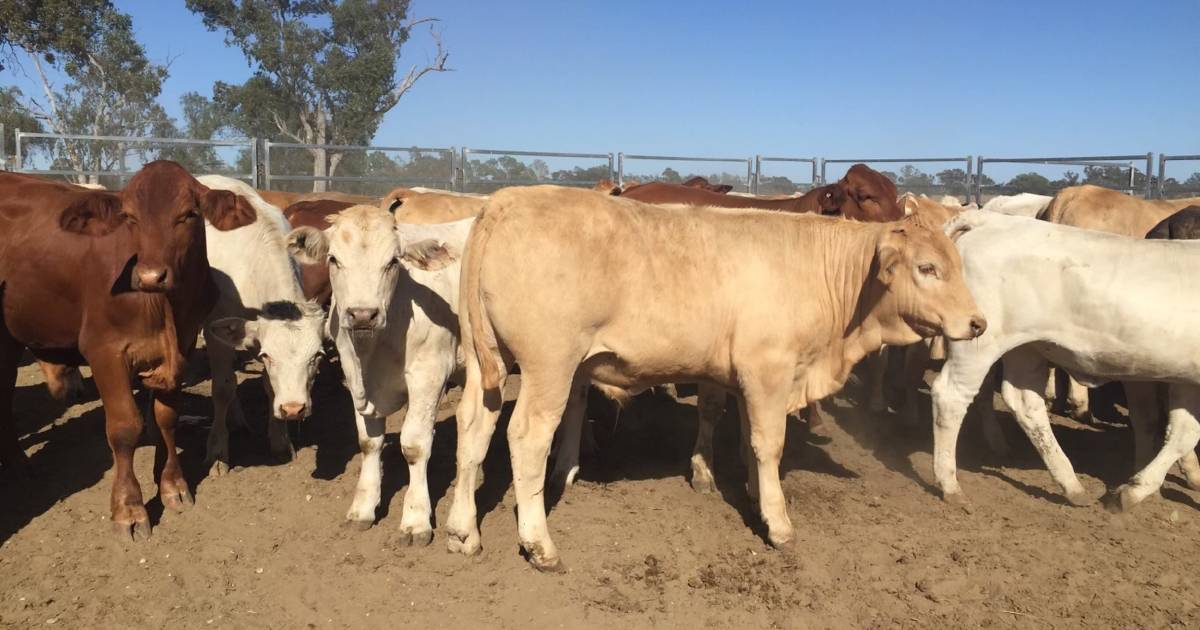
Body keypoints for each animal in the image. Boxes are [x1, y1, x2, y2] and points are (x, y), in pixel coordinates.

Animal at [0, 160, 253, 535]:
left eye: (189, 215)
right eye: (130, 218)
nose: (150, 276)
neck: (165, 308)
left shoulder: (184, 345)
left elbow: (167, 417)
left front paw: (173, 485)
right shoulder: (105, 350)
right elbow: (124, 428)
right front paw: (129, 508)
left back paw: (17, 463)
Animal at [285, 204, 472, 542]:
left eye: (393, 262)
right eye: (333, 259)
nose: (362, 314)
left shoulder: (430, 375)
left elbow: (414, 445)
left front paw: (416, 519)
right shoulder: (353, 376)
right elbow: (368, 443)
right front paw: (363, 508)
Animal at [936, 211, 1200, 511]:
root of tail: (992, 218)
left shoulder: (1186, 378)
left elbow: (1183, 432)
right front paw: (1133, 491)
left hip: (1026, 348)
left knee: (1026, 404)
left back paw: (1071, 485)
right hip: (978, 343)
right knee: (951, 397)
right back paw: (949, 484)